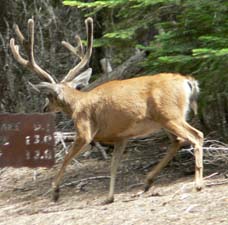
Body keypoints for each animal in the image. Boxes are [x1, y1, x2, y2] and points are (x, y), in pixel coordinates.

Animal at [9, 17, 204, 204]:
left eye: (49, 96)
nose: (44, 108)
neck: (78, 103)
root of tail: (188, 81)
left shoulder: (85, 130)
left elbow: (66, 158)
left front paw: (55, 191)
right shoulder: (121, 137)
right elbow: (113, 166)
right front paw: (110, 197)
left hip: (170, 116)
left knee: (196, 135)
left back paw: (198, 184)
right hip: (164, 120)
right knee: (178, 141)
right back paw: (148, 181)